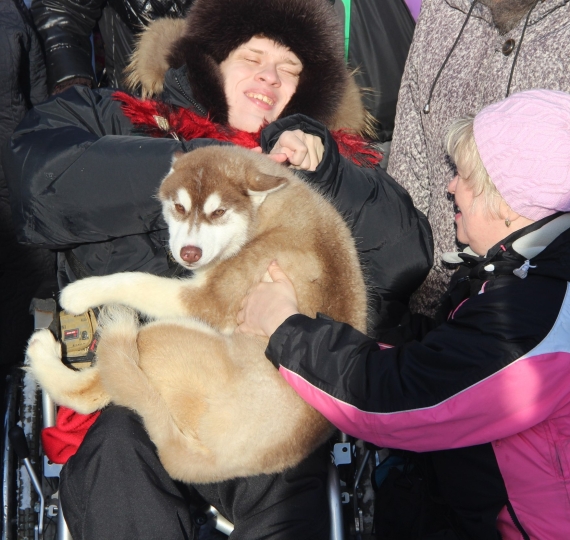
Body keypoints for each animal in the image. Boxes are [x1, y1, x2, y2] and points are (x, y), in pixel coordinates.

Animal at [26, 146, 366, 484]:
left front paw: (80, 291)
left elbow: (137, 280)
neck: (270, 214)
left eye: (218, 213)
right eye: (179, 206)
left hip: (157, 337)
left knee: (89, 392)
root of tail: (209, 461)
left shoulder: (208, 300)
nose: (190, 253)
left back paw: (43, 349)